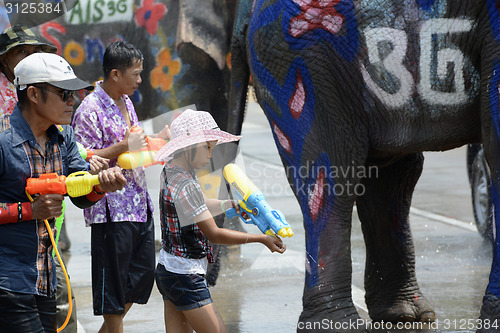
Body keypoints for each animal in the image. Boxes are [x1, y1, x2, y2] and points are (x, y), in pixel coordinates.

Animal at [228, 0, 500, 328]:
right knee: (333, 171)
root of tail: (246, 11)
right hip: (303, 58)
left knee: (393, 175)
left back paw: (405, 314)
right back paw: (340, 324)